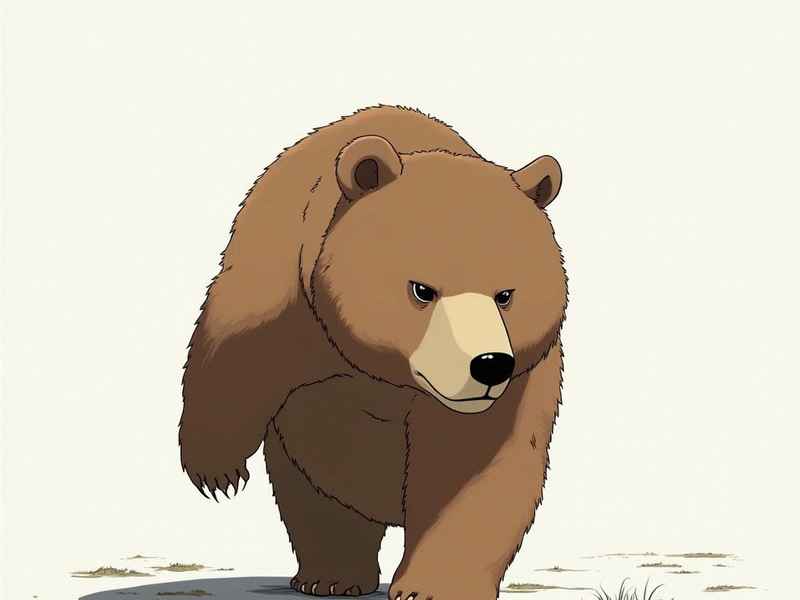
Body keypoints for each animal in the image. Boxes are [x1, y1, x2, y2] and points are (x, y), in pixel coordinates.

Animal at [179, 105, 568, 600]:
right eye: (422, 289)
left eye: (506, 295)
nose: (489, 365)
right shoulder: (284, 291)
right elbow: (233, 352)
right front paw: (218, 471)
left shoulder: (518, 382)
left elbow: (474, 466)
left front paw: (434, 584)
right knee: (318, 502)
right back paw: (330, 576)